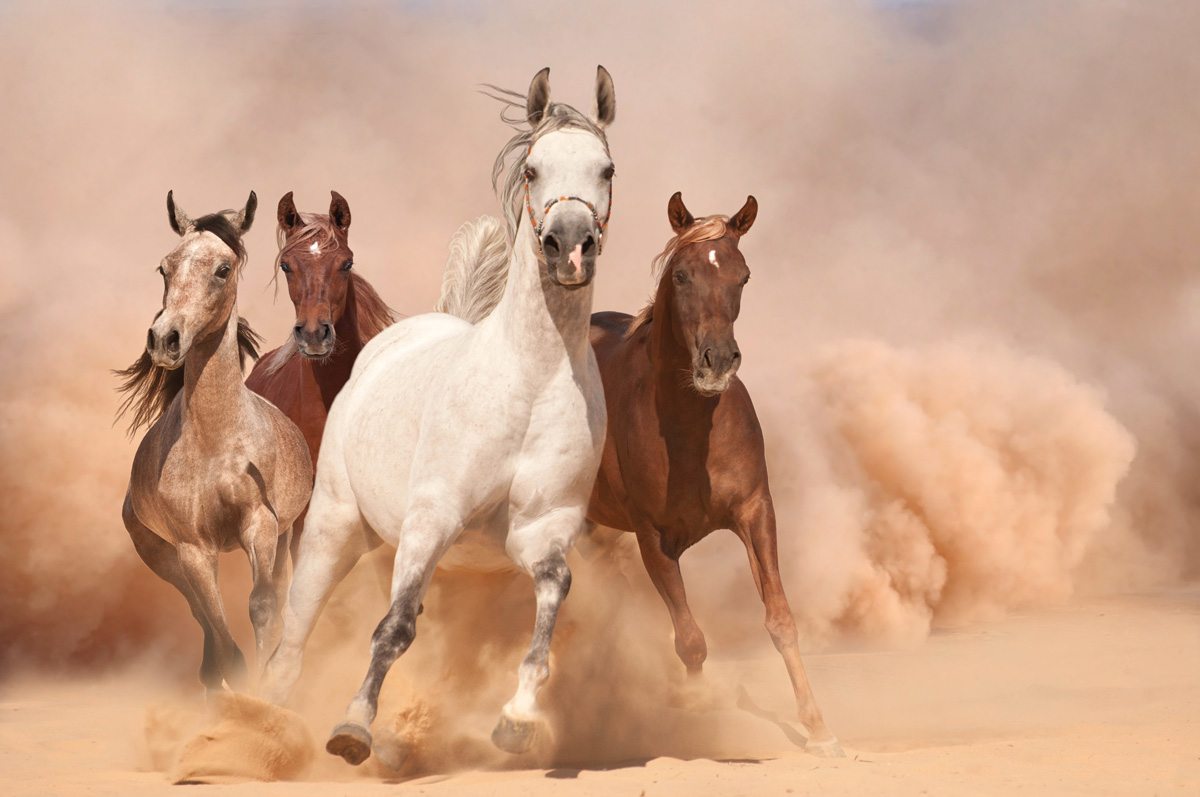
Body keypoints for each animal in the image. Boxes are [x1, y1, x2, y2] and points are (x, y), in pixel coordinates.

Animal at [115, 191, 313, 693]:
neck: (216, 445)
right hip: (162, 556)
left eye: (223, 269)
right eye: (165, 267)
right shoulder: (192, 549)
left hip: (284, 537)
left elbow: (263, 606)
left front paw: (268, 687)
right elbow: (223, 637)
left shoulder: (260, 526)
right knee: (201, 617)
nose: (164, 339)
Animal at [260, 65, 617, 766]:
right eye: (532, 169)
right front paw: (352, 728)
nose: (569, 246)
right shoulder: (433, 517)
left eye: (606, 168)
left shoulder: (542, 530)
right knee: (295, 632)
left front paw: (517, 720)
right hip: (336, 525)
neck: (530, 381)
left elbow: (551, 599)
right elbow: (392, 629)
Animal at [585, 192, 843, 757]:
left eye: (742, 276)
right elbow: (690, 640)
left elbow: (780, 619)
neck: (689, 428)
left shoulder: (755, 511)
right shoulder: (652, 538)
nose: (718, 361)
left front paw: (819, 729)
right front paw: (698, 714)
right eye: (681, 275)